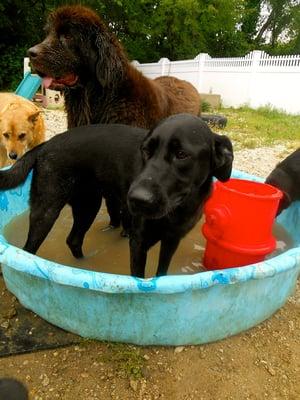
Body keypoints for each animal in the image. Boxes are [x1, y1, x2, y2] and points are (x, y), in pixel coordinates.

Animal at [0, 114, 233, 276]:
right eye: (145, 150)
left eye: (182, 154)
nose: (136, 199)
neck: (177, 209)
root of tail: (44, 145)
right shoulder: (139, 243)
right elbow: (139, 278)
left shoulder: (172, 241)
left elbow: (161, 273)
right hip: (46, 210)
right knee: (29, 249)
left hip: (88, 205)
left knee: (73, 240)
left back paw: (85, 265)